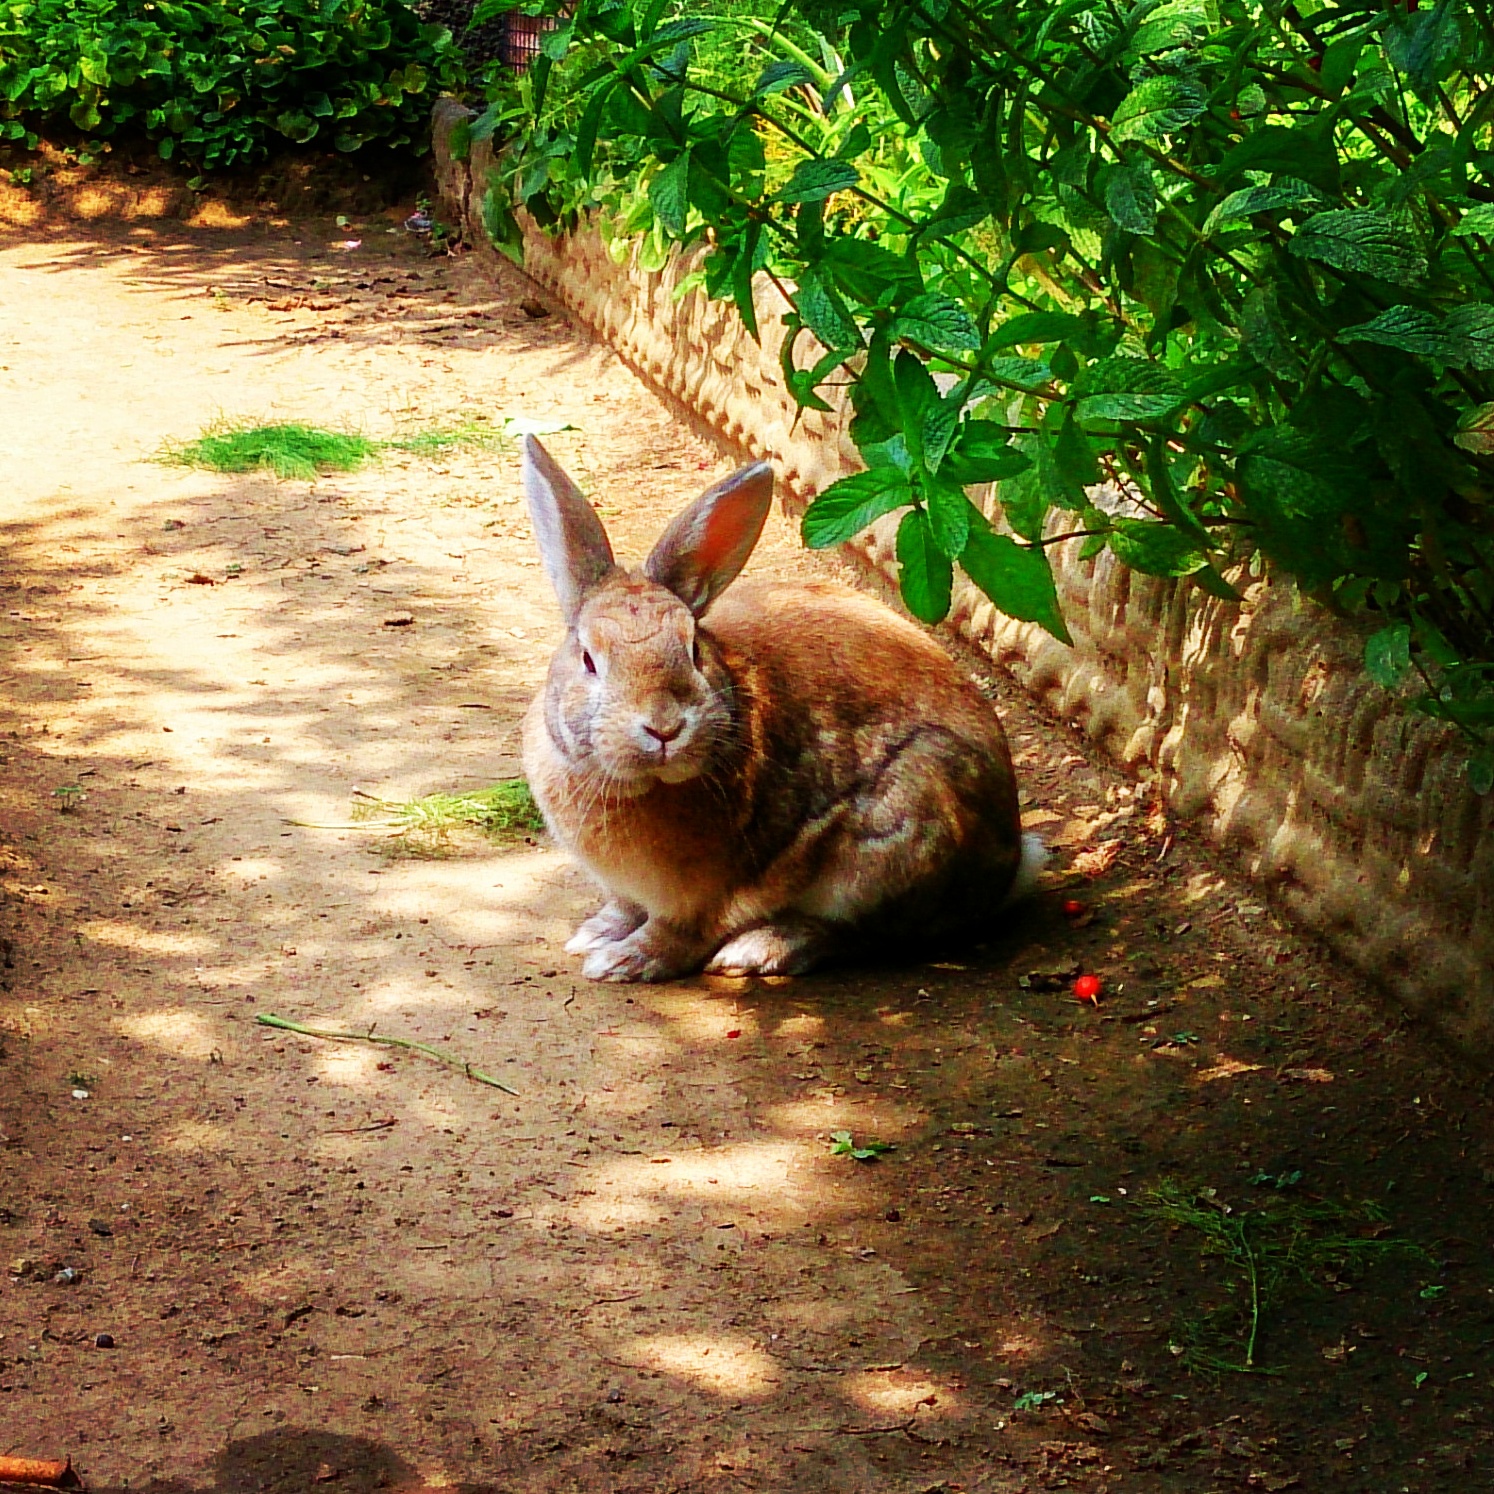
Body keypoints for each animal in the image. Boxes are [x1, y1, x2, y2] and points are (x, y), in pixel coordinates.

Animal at [519, 436, 1045, 980]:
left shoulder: (698, 897)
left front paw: (621, 961)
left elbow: (675, 934)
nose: (664, 727)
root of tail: (1009, 866)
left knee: (868, 934)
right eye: (588, 659)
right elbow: (624, 908)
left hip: (900, 833)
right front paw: (595, 935)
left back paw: (761, 947)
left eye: (693, 650)